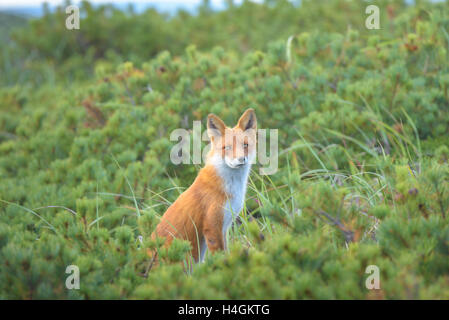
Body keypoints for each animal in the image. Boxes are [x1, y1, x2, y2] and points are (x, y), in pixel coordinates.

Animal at [150, 109, 256, 264]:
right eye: (227, 147)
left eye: (245, 145)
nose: (241, 159)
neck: (231, 188)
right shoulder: (212, 227)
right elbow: (220, 257)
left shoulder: (224, 227)